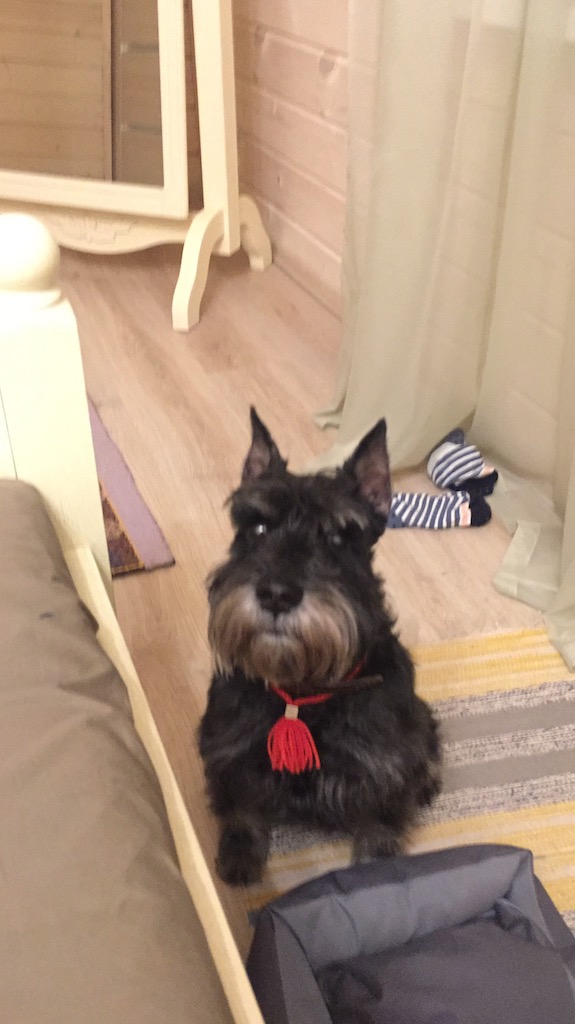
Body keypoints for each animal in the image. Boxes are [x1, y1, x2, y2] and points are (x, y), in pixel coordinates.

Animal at [198, 410, 441, 885]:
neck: (304, 690)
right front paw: (239, 858)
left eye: (339, 538)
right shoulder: (230, 749)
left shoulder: (382, 769)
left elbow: (378, 826)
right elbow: (242, 807)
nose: (277, 594)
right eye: (256, 527)